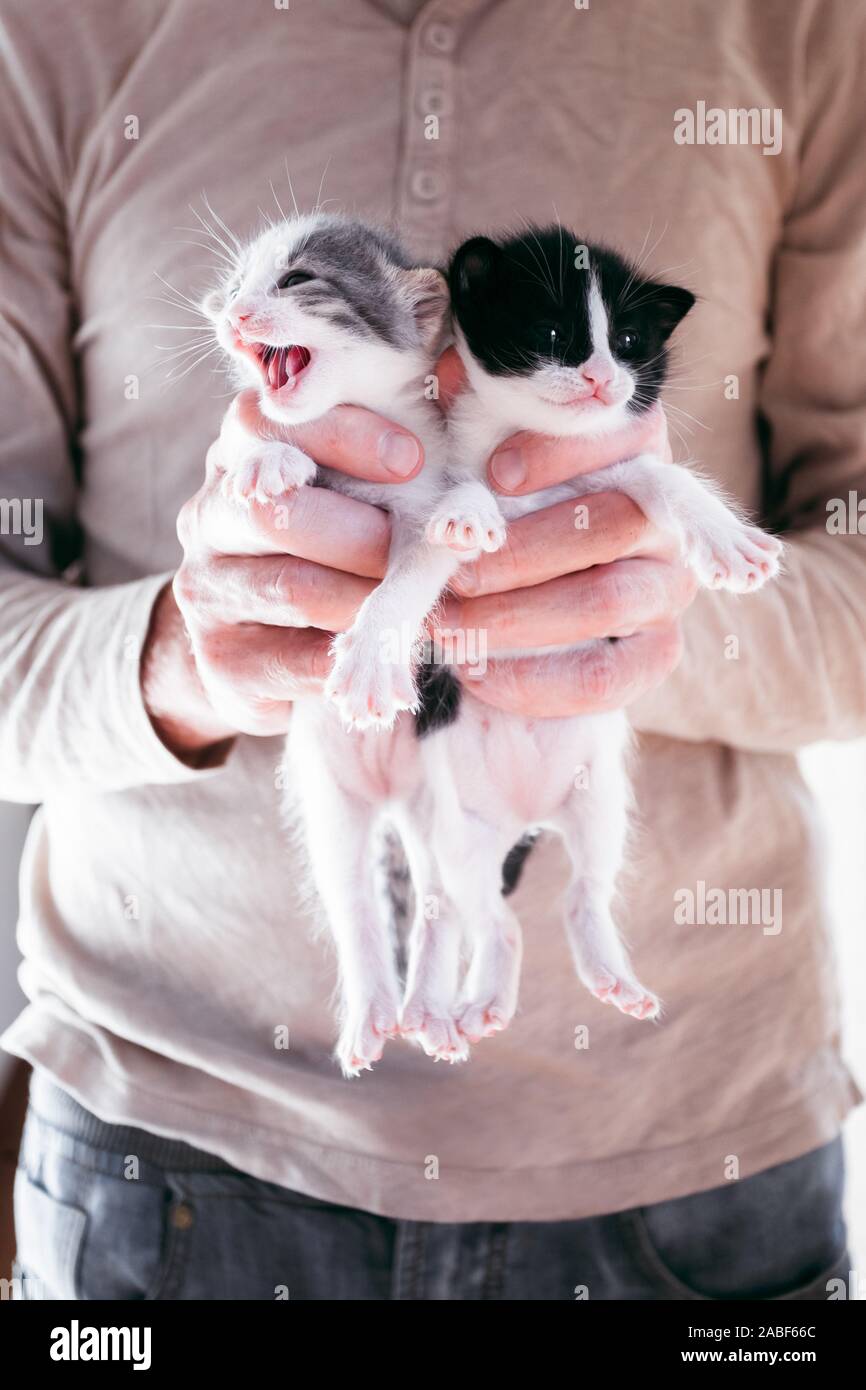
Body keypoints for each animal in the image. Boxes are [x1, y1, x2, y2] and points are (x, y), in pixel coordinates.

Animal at [400, 227, 783, 1056]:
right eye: (553, 334)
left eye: (630, 343)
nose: (605, 378)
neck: (531, 442)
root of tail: (525, 816)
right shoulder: (452, 457)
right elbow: (454, 493)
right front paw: (468, 512)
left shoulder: (606, 474)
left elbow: (664, 479)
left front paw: (725, 539)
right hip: (459, 831)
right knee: (492, 916)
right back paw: (479, 998)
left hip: (599, 796)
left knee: (584, 889)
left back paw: (611, 975)